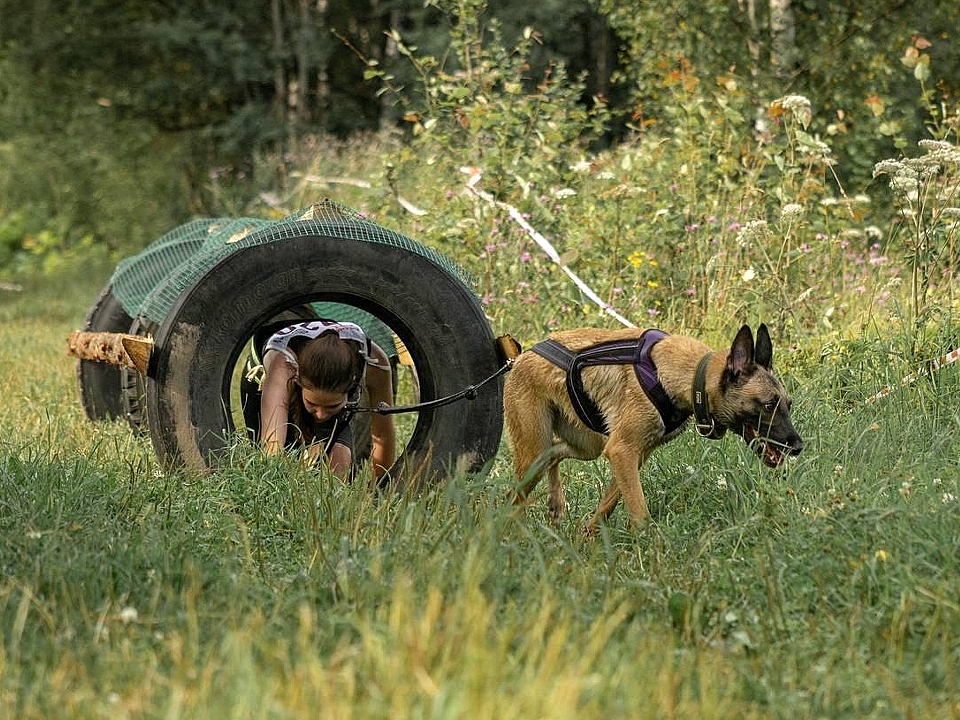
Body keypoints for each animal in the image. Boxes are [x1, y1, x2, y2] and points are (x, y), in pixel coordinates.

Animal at [502, 324, 804, 532]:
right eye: (769, 405)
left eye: (788, 404)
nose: (799, 447)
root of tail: (520, 359)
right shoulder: (622, 451)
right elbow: (640, 513)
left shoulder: (632, 455)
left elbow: (607, 505)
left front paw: (585, 538)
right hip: (533, 452)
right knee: (515, 496)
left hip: (586, 446)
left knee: (553, 453)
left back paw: (555, 503)